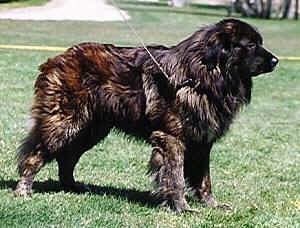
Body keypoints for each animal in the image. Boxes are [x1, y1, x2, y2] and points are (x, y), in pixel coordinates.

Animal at [15, 18, 278, 213]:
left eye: (259, 42)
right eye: (250, 45)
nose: (275, 60)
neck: (203, 75)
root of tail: (56, 59)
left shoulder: (202, 142)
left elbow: (204, 180)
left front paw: (211, 205)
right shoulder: (172, 138)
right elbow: (175, 177)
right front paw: (182, 208)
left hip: (90, 129)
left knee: (66, 158)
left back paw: (73, 187)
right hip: (64, 123)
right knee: (35, 155)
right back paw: (23, 190)